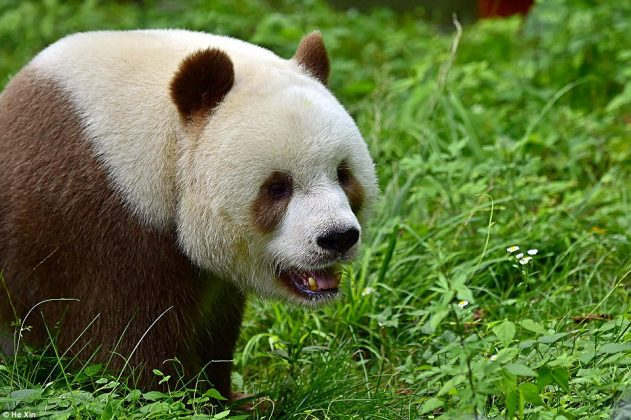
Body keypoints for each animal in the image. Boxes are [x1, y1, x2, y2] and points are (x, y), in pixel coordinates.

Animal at [0, 29, 376, 398]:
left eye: (343, 174)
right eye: (277, 187)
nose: (337, 237)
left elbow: (214, 324)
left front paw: (233, 398)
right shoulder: (96, 220)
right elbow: (124, 341)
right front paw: (186, 397)